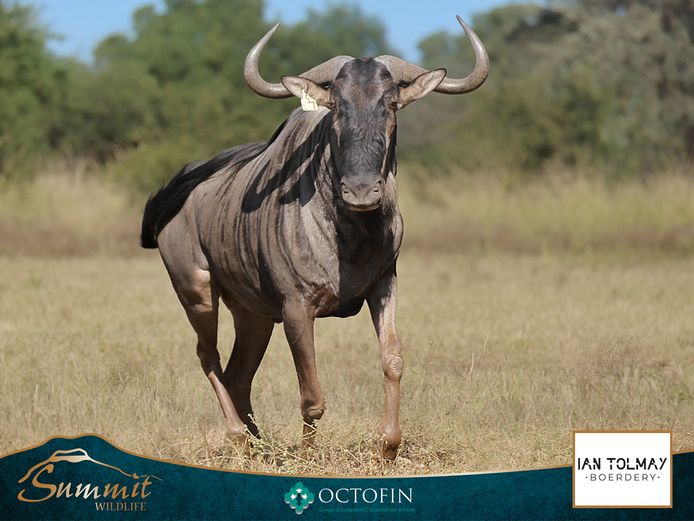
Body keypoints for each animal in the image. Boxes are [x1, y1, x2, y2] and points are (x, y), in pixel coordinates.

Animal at [140, 16, 488, 460]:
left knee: (238, 373)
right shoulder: (296, 308)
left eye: (390, 104)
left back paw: (257, 444)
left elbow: (392, 360)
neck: (350, 235)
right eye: (336, 105)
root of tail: (172, 200)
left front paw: (388, 446)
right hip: (197, 292)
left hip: (252, 314)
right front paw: (306, 455)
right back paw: (238, 437)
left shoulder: (384, 285)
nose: (361, 192)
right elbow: (312, 396)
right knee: (208, 356)